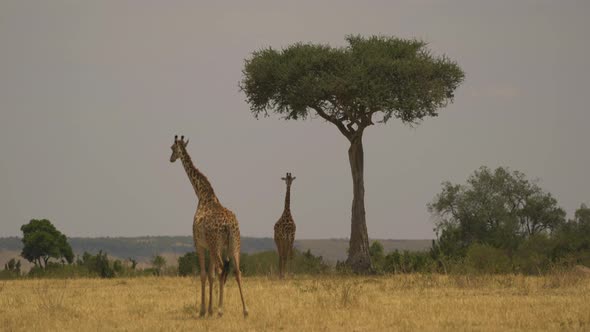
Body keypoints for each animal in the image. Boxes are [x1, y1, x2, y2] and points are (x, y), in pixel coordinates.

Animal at [169, 136, 250, 320]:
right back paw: (245, 310)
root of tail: (229, 225)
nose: (170, 159)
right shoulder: (211, 246)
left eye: (171, 148)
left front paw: (203, 310)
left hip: (216, 246)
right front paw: (210, 309)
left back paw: (221, 310)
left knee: (222, 270)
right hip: (234, 244)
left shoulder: (199, 244)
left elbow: (204, 275)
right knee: (237, 272)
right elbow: (212, 276)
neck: (202, 194)